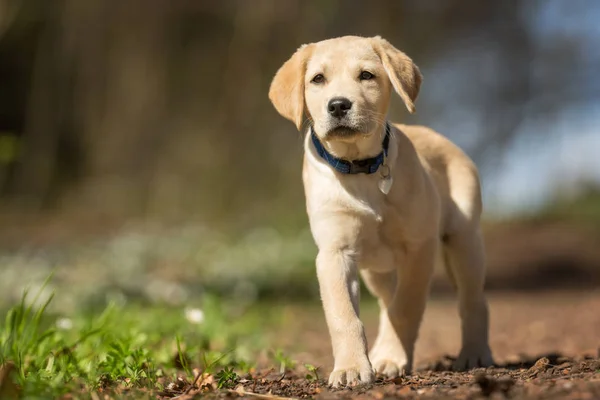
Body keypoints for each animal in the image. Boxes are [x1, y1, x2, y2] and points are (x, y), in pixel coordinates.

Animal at [270, 36, 494, 388]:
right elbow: (344, 316)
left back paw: (473, 353)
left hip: (464, 241)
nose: (338, 105)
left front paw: (389, 356)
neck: (359, 167)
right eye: (317, 79)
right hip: (377, 271)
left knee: (473, 300)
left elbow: (405, 309)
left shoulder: (419, 247)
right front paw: (351, 368)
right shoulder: (334, 253)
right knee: (389, 300)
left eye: (366, 76)